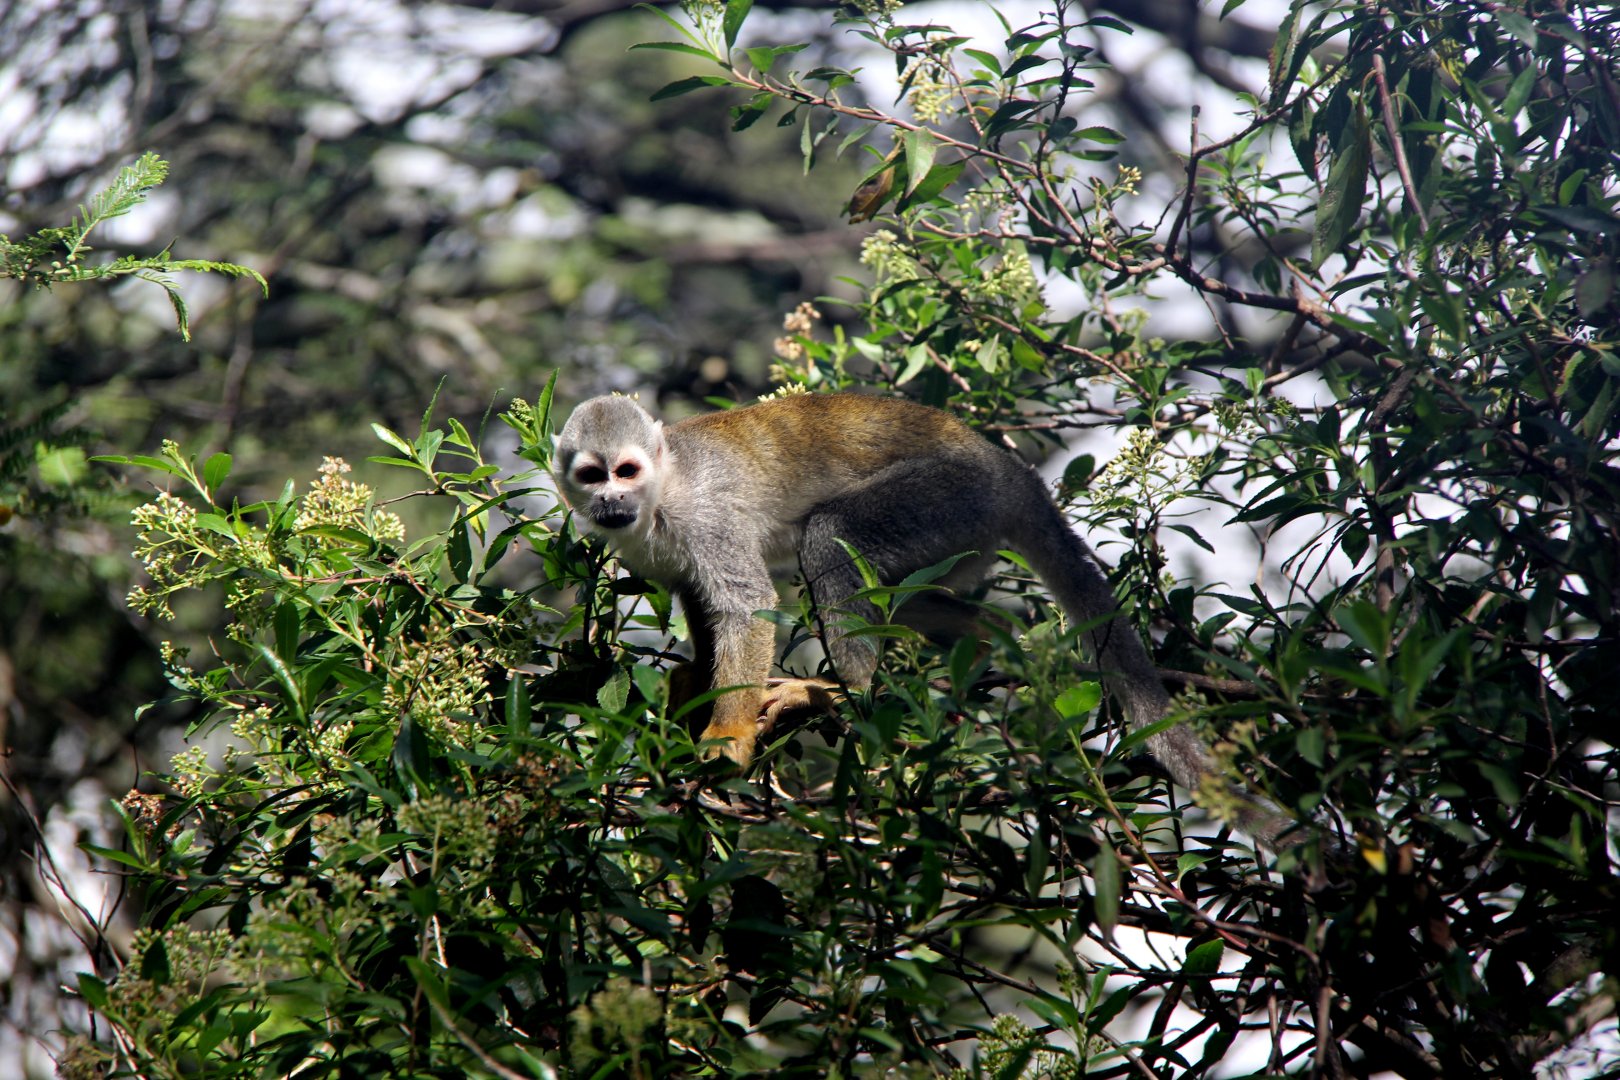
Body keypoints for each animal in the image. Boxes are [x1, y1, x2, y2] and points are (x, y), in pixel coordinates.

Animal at [554, 391, 1295, 849]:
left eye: (627, 469)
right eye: (593, 476)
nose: (612, 501)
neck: (661, 495)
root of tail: (1014, 472)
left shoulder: (704, 519)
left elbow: (744, 605)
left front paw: (723, 738)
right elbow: (703, 611)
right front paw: (689, 703)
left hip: (953, 497)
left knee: (830, 538)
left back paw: (839, 689)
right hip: (963, 532)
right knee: (897, 595)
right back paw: (990, 644)